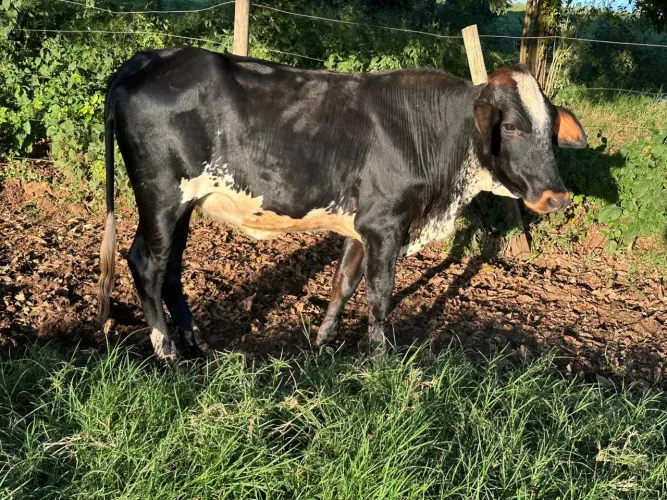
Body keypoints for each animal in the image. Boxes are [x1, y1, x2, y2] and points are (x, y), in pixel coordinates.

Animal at [97, 46, 586, 362]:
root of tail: (146, 59)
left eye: (549, 128)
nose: (557, 197)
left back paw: (196, 343)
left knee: (171, 270)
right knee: (147, 264)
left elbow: (343, 284)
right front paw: (381, 358)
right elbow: (379, 294)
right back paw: (167, 353)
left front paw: (323, 341)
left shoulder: (361, 226)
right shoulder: (386, 226)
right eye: (514, 127)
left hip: (183, 206)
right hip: (161, 197)